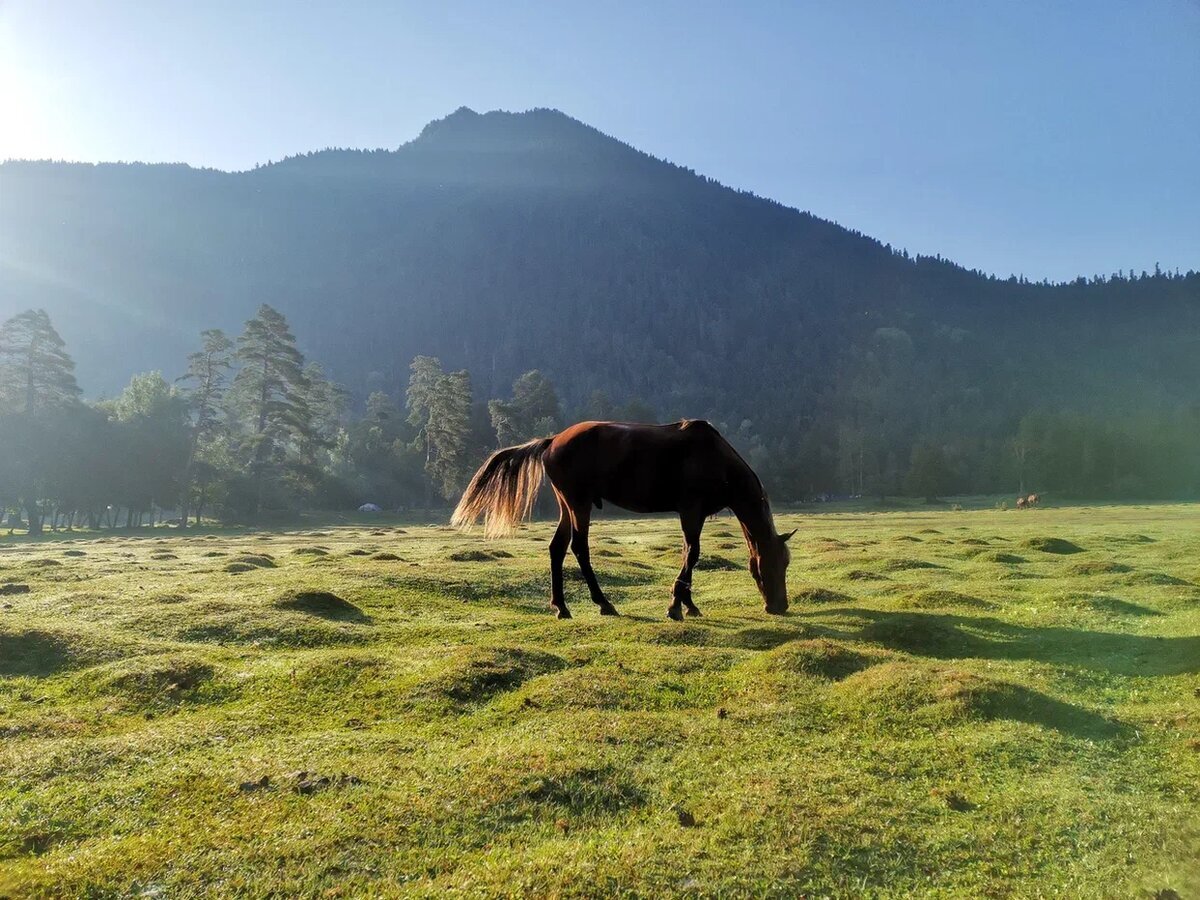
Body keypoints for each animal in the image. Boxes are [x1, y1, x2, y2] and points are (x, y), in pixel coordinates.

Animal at [451, 422, 796, 619]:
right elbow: (692, 554)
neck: (715, 459)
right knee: (580, 548)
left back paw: (561, 607)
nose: (780, 606)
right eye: (775, 563)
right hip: (579, 505)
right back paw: (603, 603)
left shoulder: (693, 513)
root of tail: (552, 440)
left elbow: (689, 554)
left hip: (567, 505)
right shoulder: (691, 510)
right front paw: (677, 606)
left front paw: (688, 604)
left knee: (557, 549)